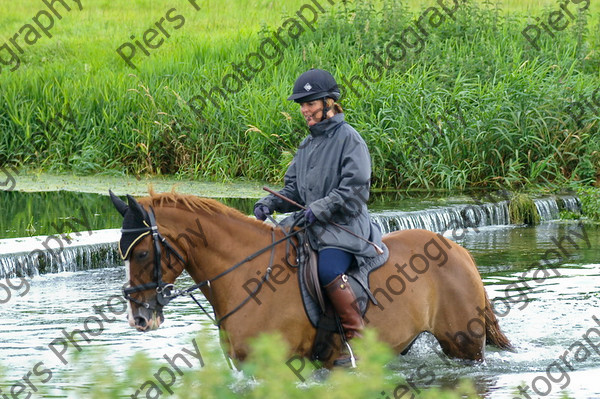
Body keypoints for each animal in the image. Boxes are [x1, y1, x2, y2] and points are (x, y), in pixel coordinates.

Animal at [111, 191, 510, 368]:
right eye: (122, 253)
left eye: (142, 253)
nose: (138, 317)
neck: (247, 277)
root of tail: (457, 249)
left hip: (465, 345)